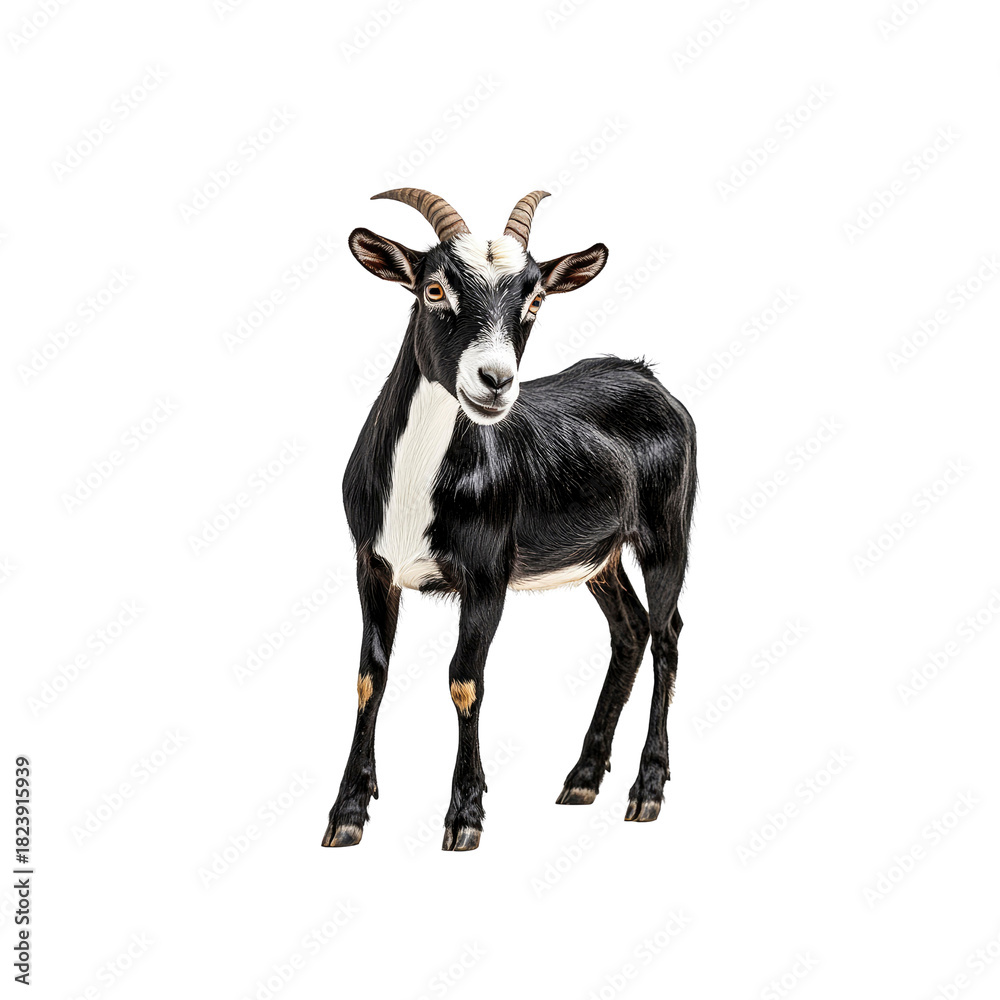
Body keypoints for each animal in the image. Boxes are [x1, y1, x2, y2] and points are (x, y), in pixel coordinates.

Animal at [322, 188, 696, 851]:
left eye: (535, 298)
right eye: (434, 288)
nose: (494, 381)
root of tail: (648, 375)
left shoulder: (487, 573)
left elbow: (465, 680)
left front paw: (465, 816)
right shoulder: (372, 565)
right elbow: (370, 676)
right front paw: (347, 813)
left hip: (667, 531)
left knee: (668, 634)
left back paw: (647, 789)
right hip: (600, 557)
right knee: (630, 630)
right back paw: (582, 779)